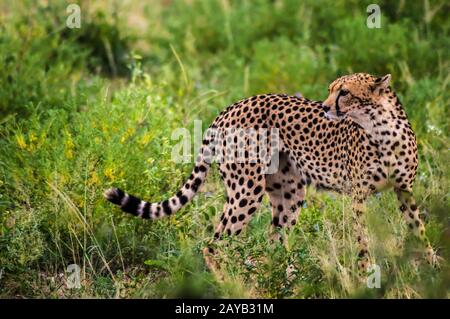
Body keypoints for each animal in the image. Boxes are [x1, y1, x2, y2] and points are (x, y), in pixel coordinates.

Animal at [104, 74, 436, 278]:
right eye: (331, 89)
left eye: (344, 92)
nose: (325, 107)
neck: (381, 128)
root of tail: (231, 107)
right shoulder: (358, 196)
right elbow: (363, 238)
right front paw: (368, 273)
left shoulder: (404, 190)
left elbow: (419, 229)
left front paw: (433, 265)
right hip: (246, 187)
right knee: (214, 243)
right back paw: (232, 283)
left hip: (290, 192)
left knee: (274, 239)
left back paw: (286, 277)